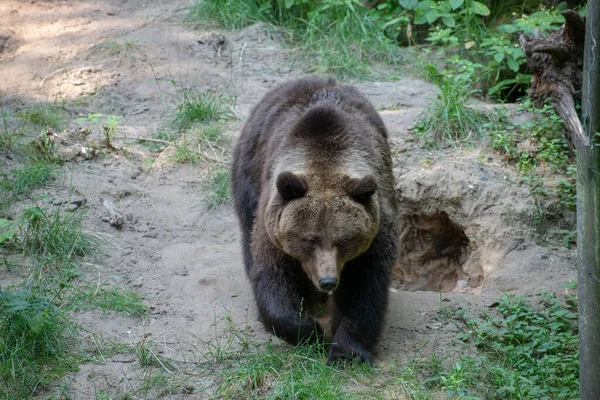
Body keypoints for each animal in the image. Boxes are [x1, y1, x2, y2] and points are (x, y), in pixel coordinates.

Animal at [230, 78, 398, 366]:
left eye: (344, 241)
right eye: (309, 239)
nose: (328, 281)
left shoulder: (374, 233)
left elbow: (362, 289)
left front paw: (346, 352)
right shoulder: (273, 225)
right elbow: (273, 276)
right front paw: (310, 331)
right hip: (249, 169)